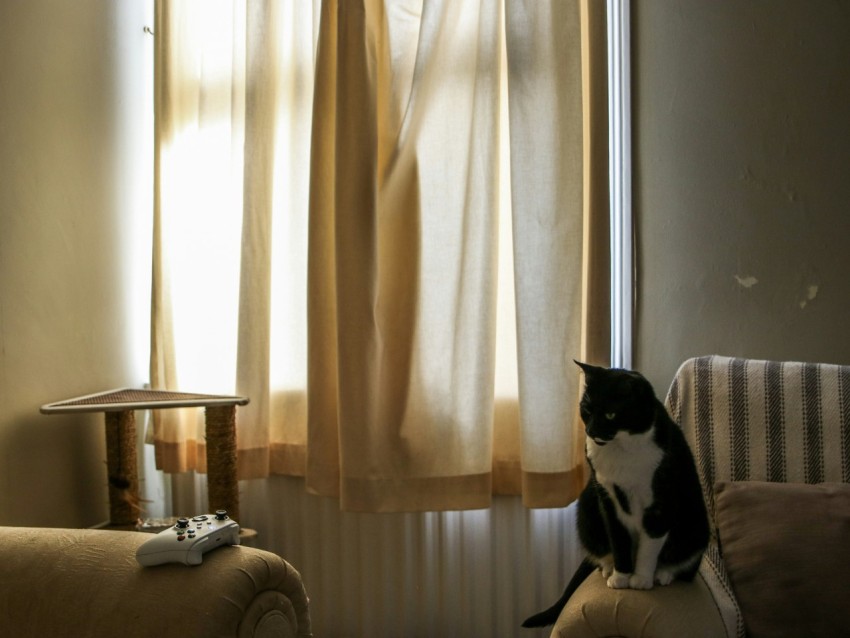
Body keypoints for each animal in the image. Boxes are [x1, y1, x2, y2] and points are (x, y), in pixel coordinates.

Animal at [520, 362, 704, 632]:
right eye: (586, 410)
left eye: (610, 414)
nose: (590, 430)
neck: (622, 448)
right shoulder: (606, 498)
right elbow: (618, 540)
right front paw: (621, 576)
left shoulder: (661, 500)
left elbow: (650, 545)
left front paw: (641, 578)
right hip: (587, 507)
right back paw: (609, 568)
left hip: (696, 521)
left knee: (685, 564)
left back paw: (664, 573)